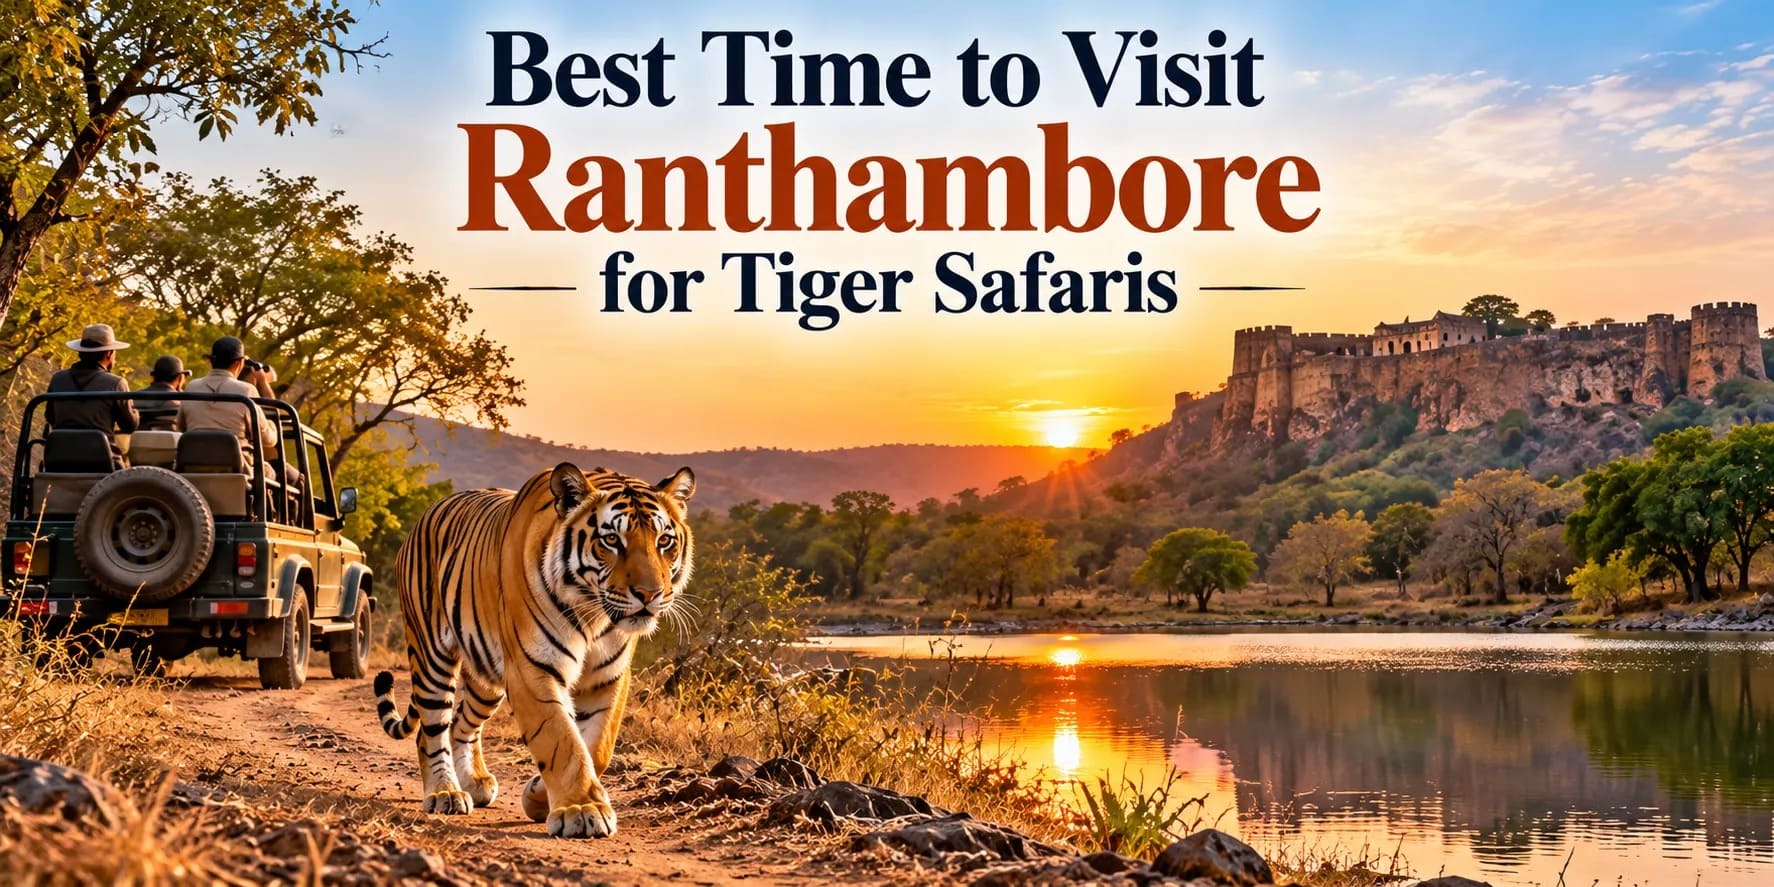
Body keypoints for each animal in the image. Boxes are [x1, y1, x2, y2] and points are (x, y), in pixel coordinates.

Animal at [372, 462, 694, 839]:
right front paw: (581, 809)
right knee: (431, 729)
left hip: (486, 680)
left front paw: (540, 796)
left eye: (664, 541)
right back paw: (445, 793)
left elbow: (595, 747)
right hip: (431, 654)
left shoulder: (608, 677)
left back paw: (475, 782)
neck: (594, 615)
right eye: (612, 540)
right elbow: (561, 741)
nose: (649, 594)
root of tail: (428, 512)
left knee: (462, 725)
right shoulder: (533, 669)